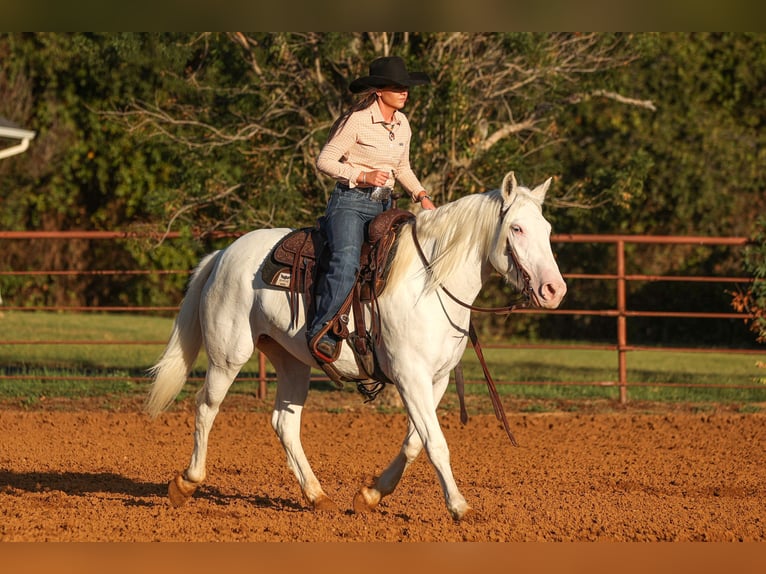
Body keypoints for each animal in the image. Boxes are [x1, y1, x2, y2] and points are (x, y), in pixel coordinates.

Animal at [146, 171, 564, 520]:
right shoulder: (410, 377)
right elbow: (436, 443)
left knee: (285, 423)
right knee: (206, 406)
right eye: (516, 228)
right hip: (227, 355)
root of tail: (223, 255)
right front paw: (460, 507)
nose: (554, 290)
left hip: (291, 360)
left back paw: (317, 496)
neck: (430, 284)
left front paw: (370, 496)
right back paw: (186, 483)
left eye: (546, 229)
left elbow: (415, 442)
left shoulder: (437, 380)